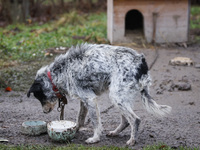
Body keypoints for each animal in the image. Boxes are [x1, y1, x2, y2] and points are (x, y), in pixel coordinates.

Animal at [27, 44, 172, 146]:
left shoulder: (90, 99)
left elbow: (95, 122)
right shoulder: (84, 99)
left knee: (135, 120)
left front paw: (95, 138)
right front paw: (75, 129)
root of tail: (141, 62)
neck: (59, 72)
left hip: (116, 96)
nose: (44, 112)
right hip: (121, 97)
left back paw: (132, 140)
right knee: (126, 120)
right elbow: (80, 118)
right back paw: (115, 133)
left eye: (40, 97)